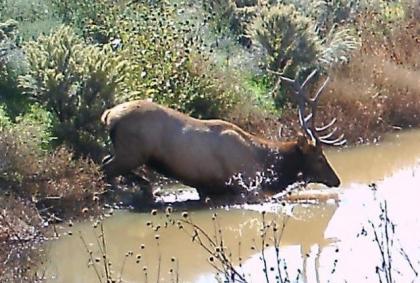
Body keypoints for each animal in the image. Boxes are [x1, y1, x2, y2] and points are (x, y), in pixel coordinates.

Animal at [101, 70, 344, 201]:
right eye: (320, 157)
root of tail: (108, 115)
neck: (267, 166)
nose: (337, 180)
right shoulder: (245, 186)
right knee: (106, 169)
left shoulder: (206, 190)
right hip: (132, 152)